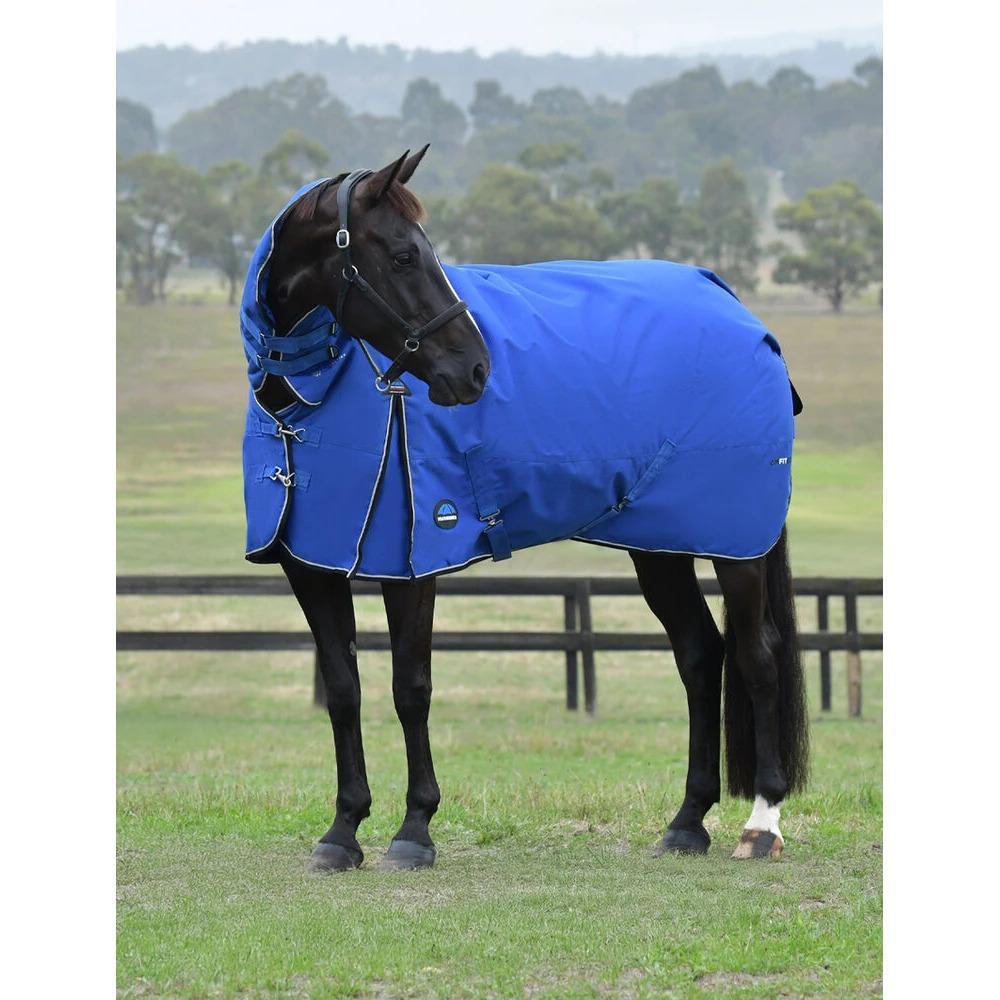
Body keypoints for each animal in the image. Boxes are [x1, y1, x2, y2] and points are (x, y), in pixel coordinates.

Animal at [238, 147, 809, 871]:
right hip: (660, 544)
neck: (310, 402)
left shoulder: (412, 562)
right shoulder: (309, 565)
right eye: (402, 255)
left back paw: (762, 824)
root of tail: (741, 311)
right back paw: (686, 824)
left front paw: (413, 830)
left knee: (757, 656)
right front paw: (342, 832)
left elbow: (410, 688)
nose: (476, 371)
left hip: (736, 543)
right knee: (701, 656)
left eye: (421, 252)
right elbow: (344, 689)